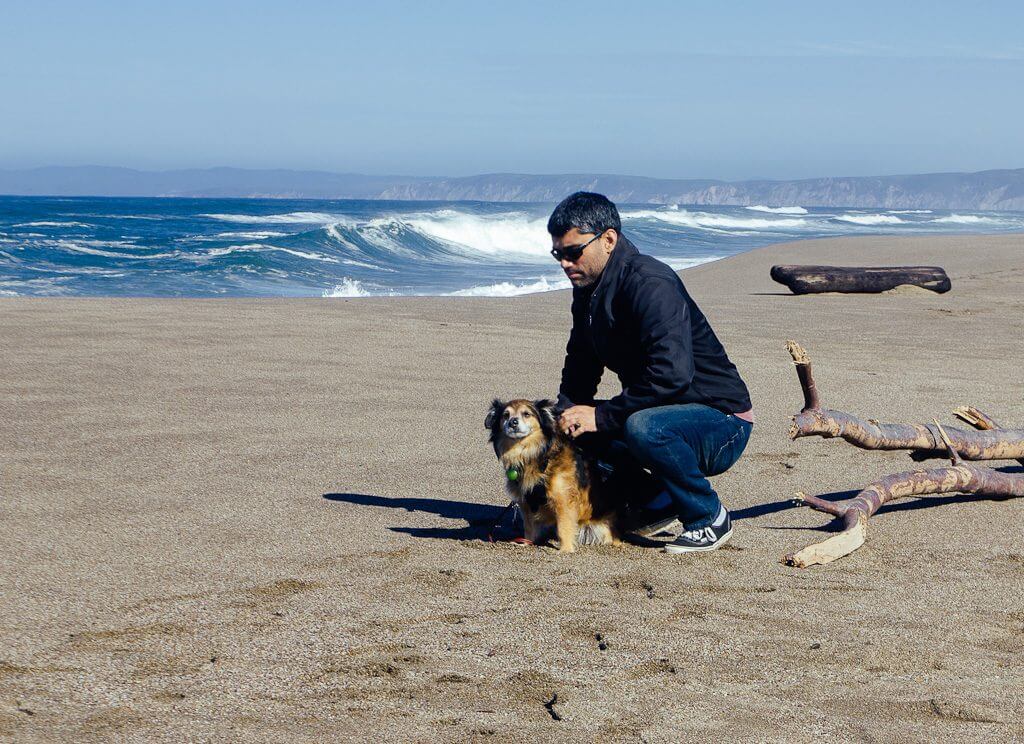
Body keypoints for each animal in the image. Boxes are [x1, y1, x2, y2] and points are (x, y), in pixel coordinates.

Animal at [485, 395, 618, 552]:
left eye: (526, 414)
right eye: (505, 415)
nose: (513, 422)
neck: (533, 455)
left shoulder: (564, 498)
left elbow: (563, 526)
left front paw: (565, 549)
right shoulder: (525, 502)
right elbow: (529, 527)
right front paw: (525, 543)